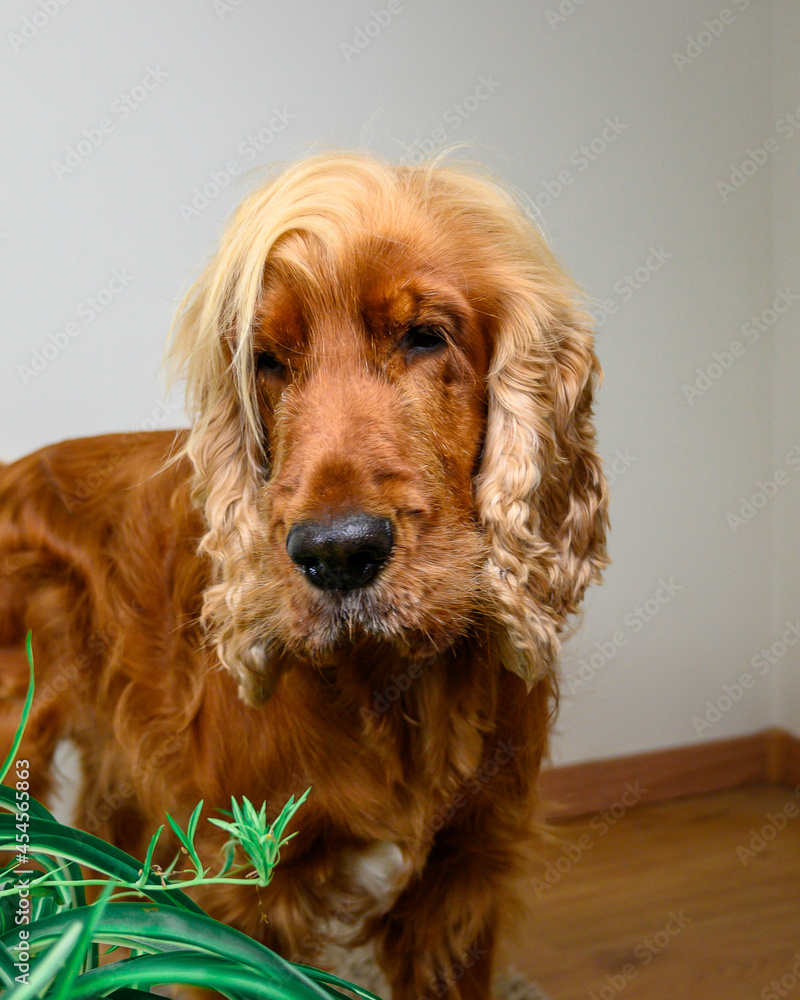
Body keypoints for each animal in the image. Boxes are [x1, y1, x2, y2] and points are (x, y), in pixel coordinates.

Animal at [0, 150, 608, 1000]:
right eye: (267, 363)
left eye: (424, 337)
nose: (337, 553)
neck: (392, 685)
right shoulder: (233, 896)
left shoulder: (462, 880)